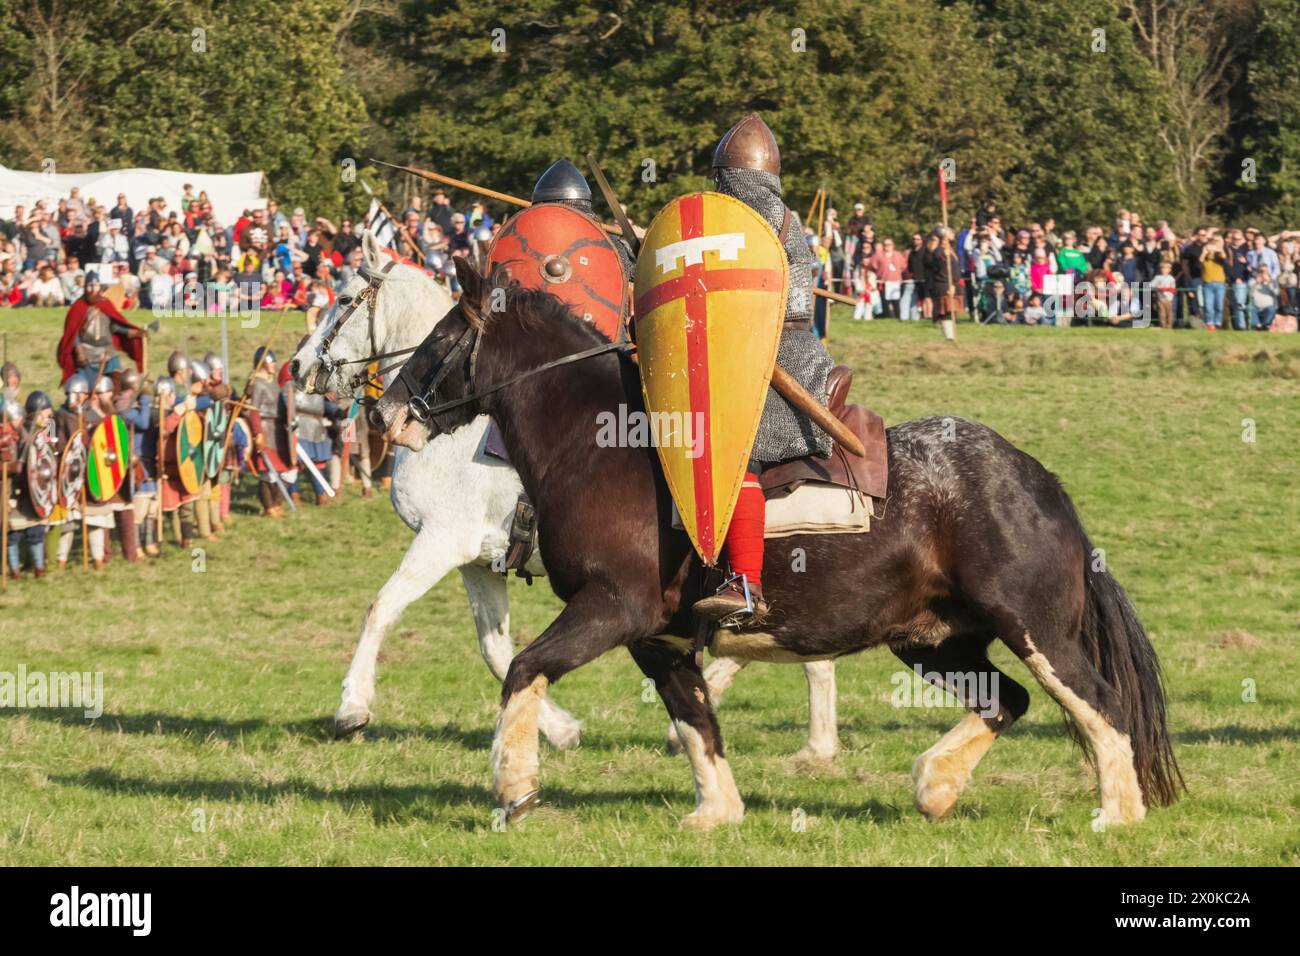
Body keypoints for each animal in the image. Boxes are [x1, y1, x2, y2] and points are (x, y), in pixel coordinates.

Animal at [292, 227, 842, 759]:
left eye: (344, 298)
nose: (298, 366)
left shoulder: (442, 539)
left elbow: (381, 607)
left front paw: (352, 707)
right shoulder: (478, 561)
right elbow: (496, 649)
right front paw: (560, 730)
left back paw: (812, 744)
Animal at [371, 260, 1185, 832]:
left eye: (440, 339)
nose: (384, 414)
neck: (602, 447)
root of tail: (1039, 480)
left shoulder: (612, 610)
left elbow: (524, 670)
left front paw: (514, 786)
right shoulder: (658, 638)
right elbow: (696, 722)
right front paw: (716, 814)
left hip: (1032, 626)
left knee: (1099, 702)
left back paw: (1117, 812)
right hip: (933, 640)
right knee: (1006, 700)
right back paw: (935, 785)